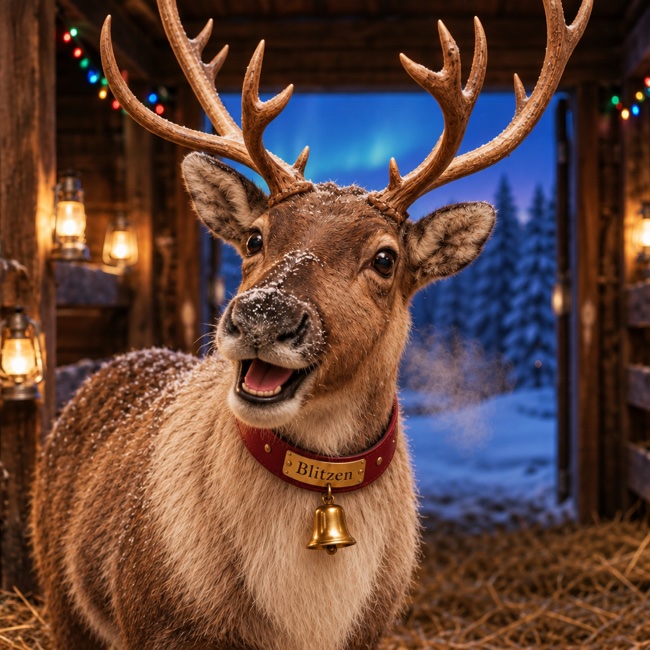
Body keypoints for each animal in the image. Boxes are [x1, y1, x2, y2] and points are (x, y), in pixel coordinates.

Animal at [32, 0, 591, 648]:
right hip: (62, 599)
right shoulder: (158, 622)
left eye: (385, 259)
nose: (263, 314)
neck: (306, 616)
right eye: (254, 238)